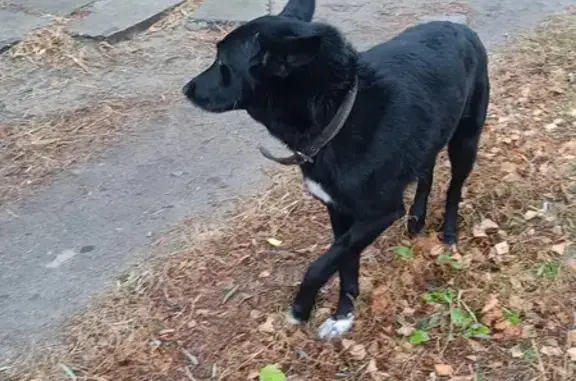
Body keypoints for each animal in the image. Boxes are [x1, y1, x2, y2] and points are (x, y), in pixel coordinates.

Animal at [182, 0, 488, 338]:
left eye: (222, 61)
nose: (186, 89)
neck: (340, 111)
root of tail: (460, 28)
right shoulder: (339, 211)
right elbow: (344, 262)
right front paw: (344, 314)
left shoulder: (379, 213)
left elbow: (321, 264)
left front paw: (301, 308)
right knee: (427, 170)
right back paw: (417, 217)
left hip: (465, 140)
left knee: (454, 188)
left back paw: (449, 232)